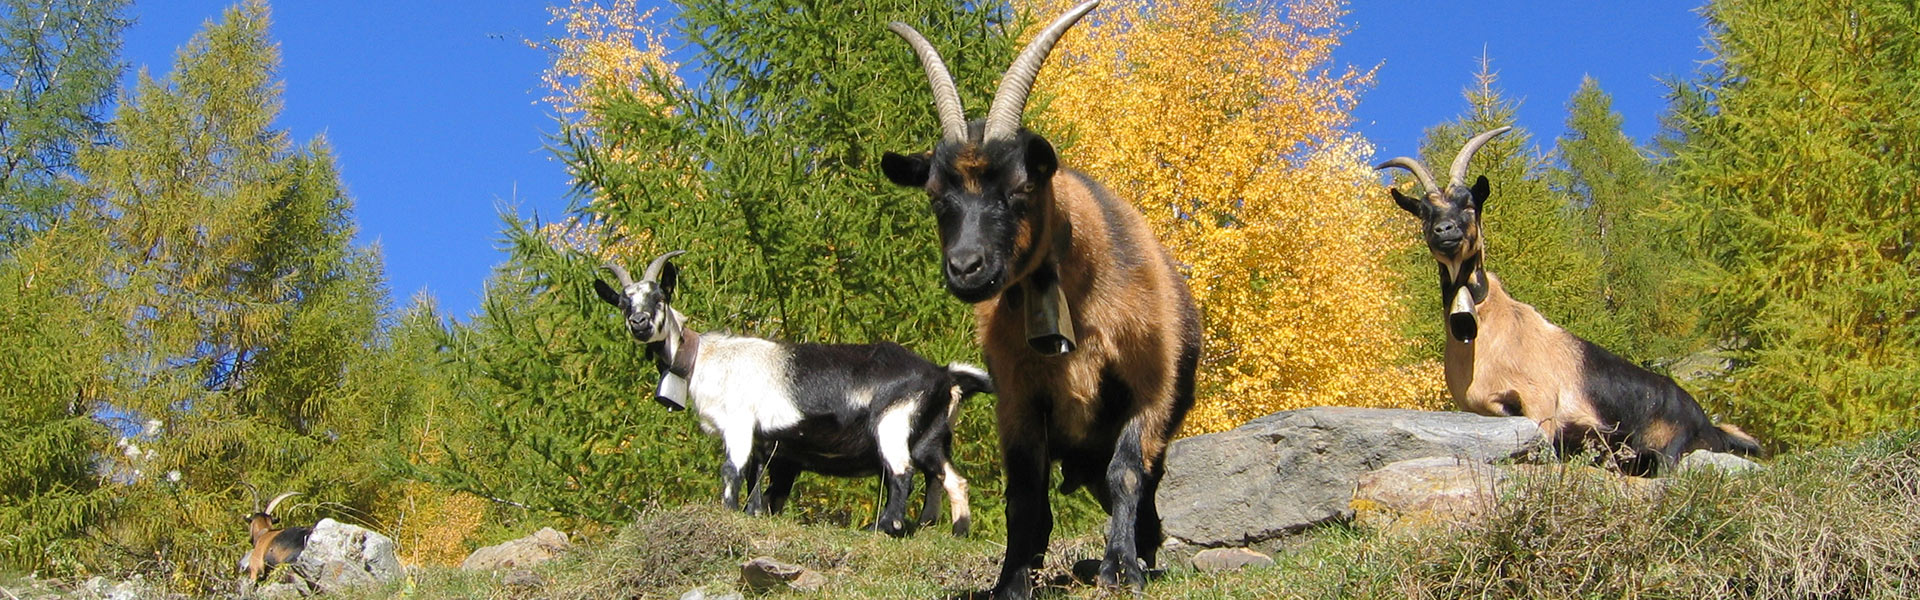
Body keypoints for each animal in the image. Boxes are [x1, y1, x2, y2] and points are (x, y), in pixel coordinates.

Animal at [595, 248, 990, 534]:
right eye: (623, 303)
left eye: (659, 297)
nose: (639, 323)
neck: (705, 359)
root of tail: (944, 374)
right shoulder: (764, 441)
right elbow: (756, 480)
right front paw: (752, 514)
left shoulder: (738, 424)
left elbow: (732, 470)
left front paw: (727, 514)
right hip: (933, 434)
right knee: (948, 479)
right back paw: (949, 530)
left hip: (894, 422)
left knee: (902, 471)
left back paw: (883, 527)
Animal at [879, 3, 1190, 596]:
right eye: (935, 196)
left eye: (1022, 188)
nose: (966, 267)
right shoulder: (1019, 400)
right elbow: (1024, 496)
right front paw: (1012, 580)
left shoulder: (1149, 388)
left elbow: (1127, 473)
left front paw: (1121, 570)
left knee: (1144, 495)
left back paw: (1139, 556)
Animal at [1382, 126, 1758, 473]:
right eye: (1424, 213)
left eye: (1470, 204)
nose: (1444, 230)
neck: (1488, 332)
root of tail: (1709, 425)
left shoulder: (1541, 405)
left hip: (1668, 449)